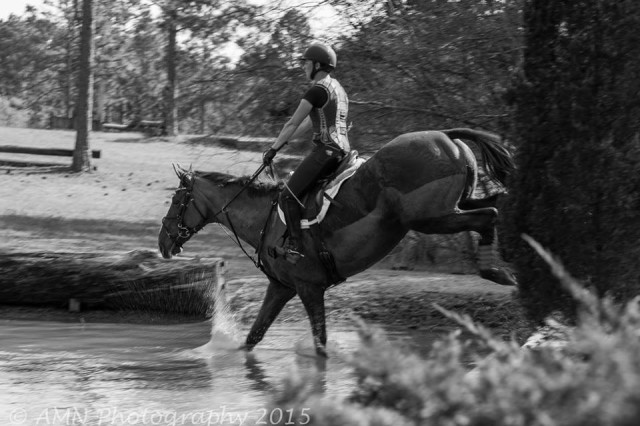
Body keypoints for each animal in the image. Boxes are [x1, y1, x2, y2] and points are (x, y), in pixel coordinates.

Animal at [158, 128, 516, 358]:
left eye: (176, 202)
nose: (163, 244)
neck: (265, 220)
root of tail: (446, 137)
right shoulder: (282, 287)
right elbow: (253, 337)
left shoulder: (308, 287)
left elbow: (320, 345)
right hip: (453, 205)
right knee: (494, 204)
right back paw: (503, 265)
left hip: (428, 218)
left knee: (489, 214)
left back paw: (496, 271)